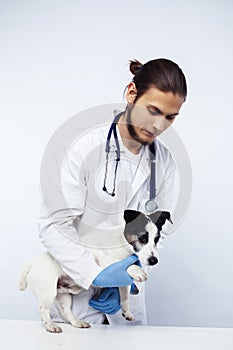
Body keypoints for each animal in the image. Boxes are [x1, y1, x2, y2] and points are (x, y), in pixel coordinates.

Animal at [18, 209, 171, 332]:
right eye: (142, 237)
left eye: (157, 239)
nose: (154, 261)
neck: (122, 244)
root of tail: (32, 264)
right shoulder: (109, 265)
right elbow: (128, 266)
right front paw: (138, 271)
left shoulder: (122, 279)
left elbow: (125, 296)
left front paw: (126, 311)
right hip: (48, 292)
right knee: (42, 309)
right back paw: (50, 326)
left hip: (63, 295)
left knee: (65, 310)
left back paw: (77, 322)